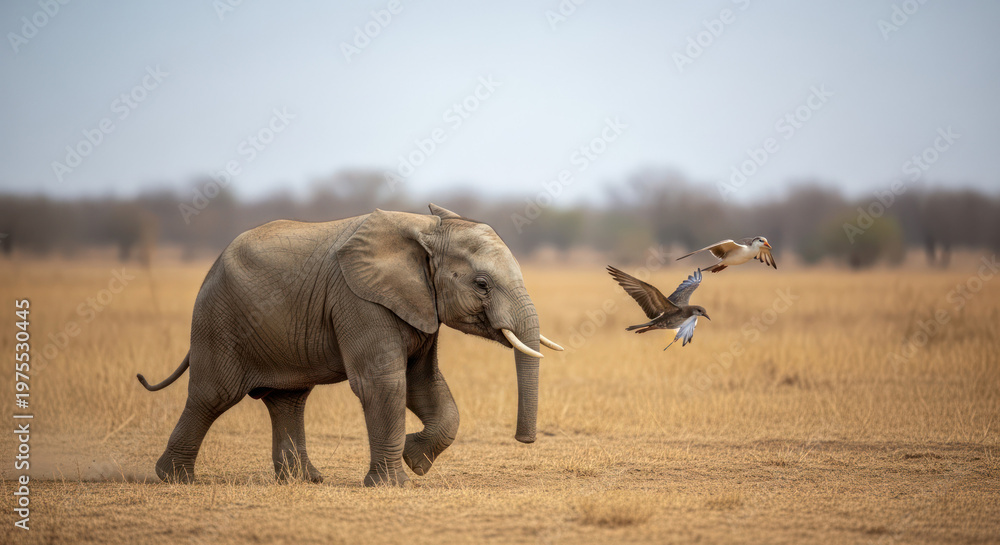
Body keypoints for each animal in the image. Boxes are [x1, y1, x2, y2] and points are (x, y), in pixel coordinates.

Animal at [137, 204, 563, 487]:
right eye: (482, 284)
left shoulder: (420, 305)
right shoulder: (358, 299)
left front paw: (414, 460)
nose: (524, 440)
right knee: (215, 394)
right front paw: (394, 483)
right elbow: (384, 383)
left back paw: (305, 480)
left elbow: (424, 384)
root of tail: (211, 267)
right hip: (220, 320)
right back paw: (175, 479)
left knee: (288, 399)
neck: (426, 228)